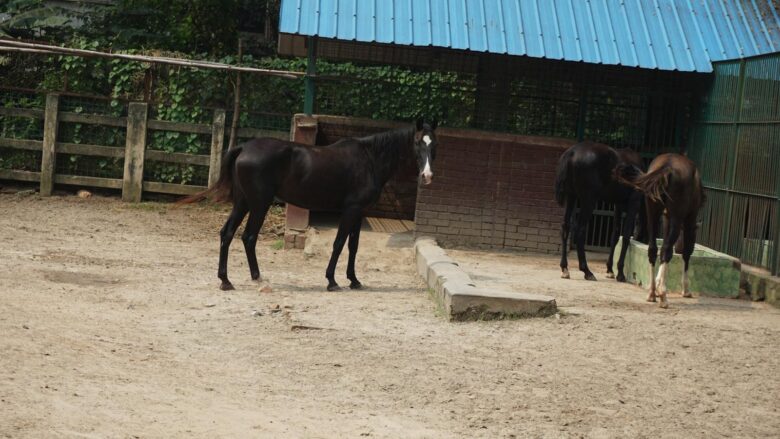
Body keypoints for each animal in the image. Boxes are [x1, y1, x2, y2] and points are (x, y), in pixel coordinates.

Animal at [556, 143, 644, 284]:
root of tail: (572, 152)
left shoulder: (618, 205)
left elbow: (615, 235)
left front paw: (610, 270)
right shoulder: (633, 202)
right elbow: (625, 236)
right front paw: (620, 273)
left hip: (571, 196)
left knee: (565, 227)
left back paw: (565, 268)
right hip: (589, 199)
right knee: (580, 230)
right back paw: (587, 271)